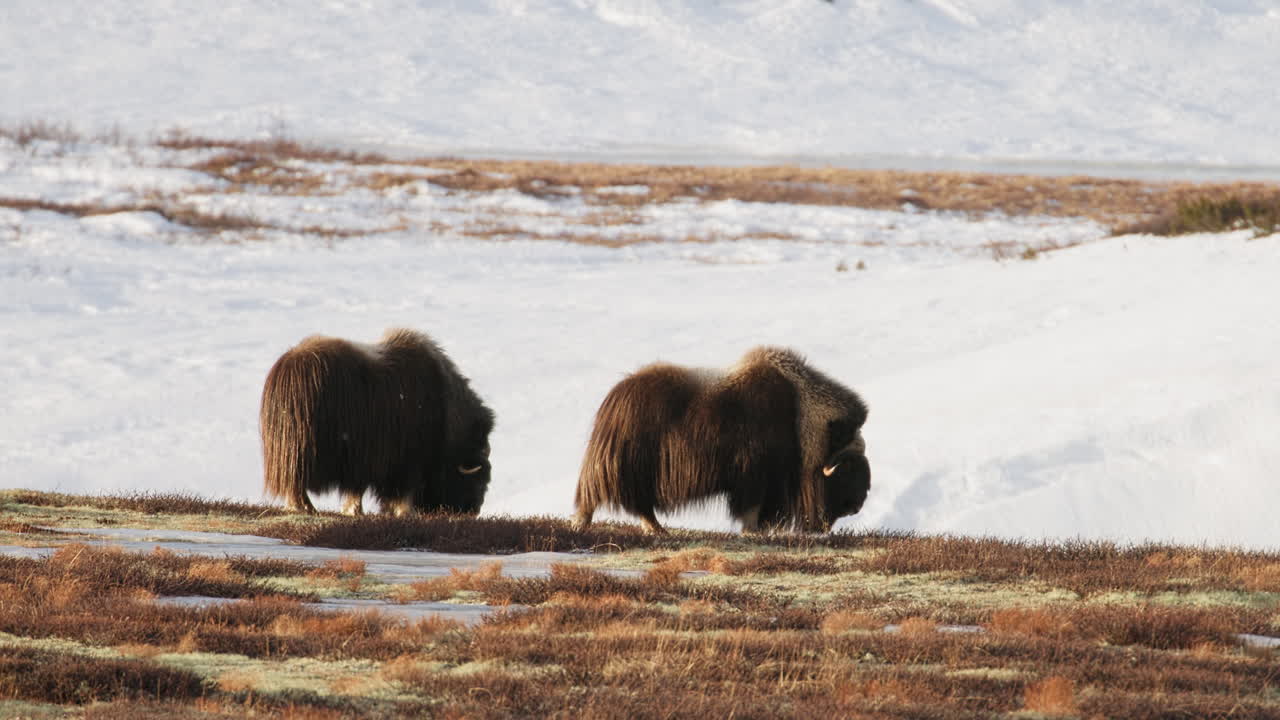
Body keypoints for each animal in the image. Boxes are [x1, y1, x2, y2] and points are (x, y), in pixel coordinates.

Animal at [260, 328, 494, 516]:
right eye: (479, 478)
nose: (473, 512)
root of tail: (286, 370)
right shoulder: (402, 461)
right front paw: (399, 512)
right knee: (296, 483)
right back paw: (305, 508)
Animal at [574, 346, 869, 534]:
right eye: (848, 465)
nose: (857, 505)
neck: (801, 416)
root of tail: (615, 397)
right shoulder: (756, 476)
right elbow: (751, 508)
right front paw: (751, 532)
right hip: (629, 467)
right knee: (607, 498)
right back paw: (585, 525)